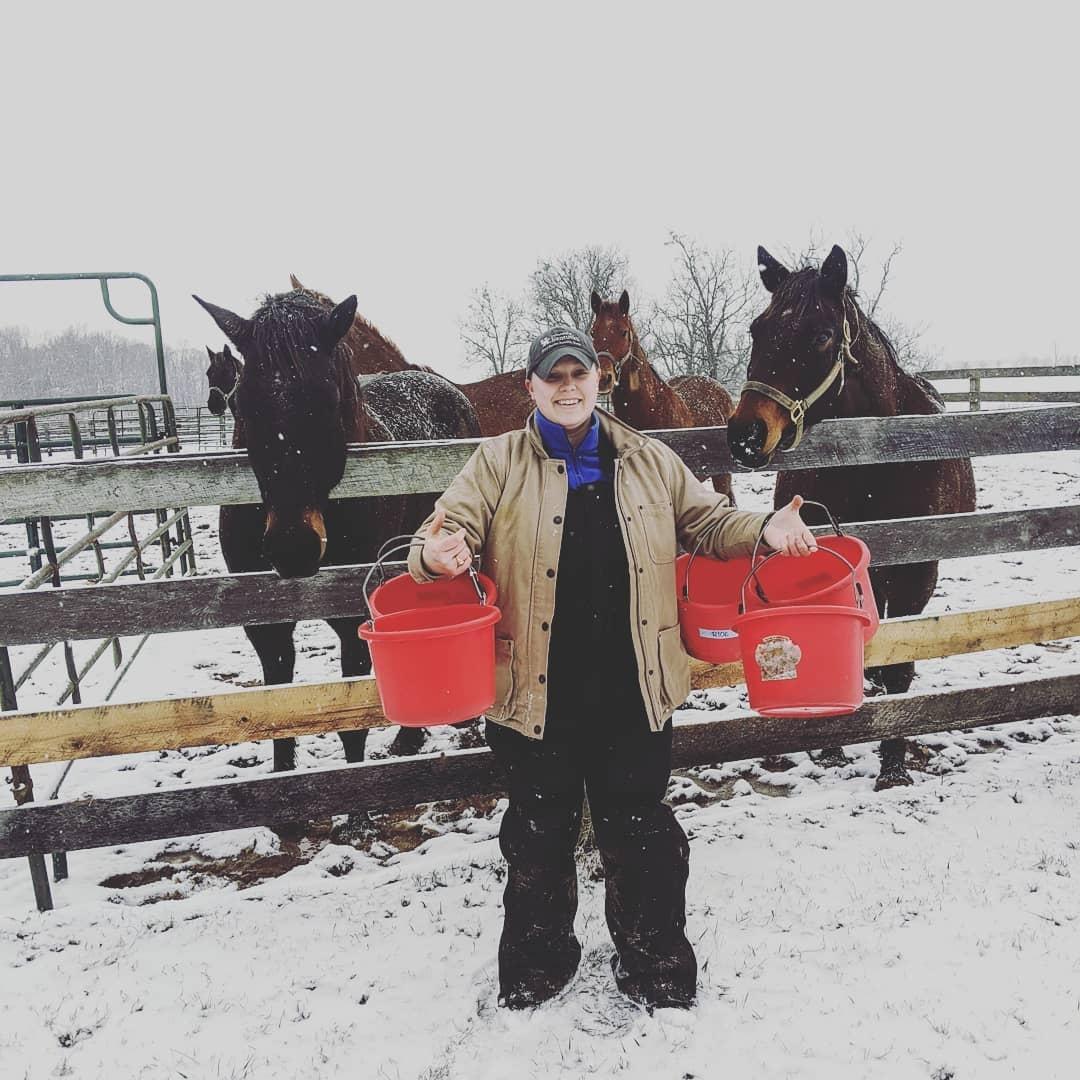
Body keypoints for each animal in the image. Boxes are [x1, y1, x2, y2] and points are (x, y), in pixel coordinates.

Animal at [194, 285, 481, 825]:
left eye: (328, 402)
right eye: (245, 402)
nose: (293, 547)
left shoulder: (354, 620)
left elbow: (353, 716)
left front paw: (357, 808)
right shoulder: (263, 622)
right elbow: (278, 707)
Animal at [725, 243, 980, 786]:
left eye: (822, 335)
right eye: (757, 329)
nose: (745, 437)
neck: (875, 458)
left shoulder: (916, 572)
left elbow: (902, 662)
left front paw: (893, 768)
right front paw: (832, 746)